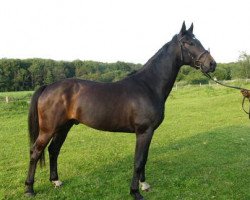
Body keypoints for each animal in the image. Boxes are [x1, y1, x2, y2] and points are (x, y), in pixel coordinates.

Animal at [24, 22, 217, 200]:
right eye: (188, 43)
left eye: (197, 40)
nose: (212, 64)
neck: (148, 86)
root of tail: (48, 87)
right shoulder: (143, 132)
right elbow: (138, 161)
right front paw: (135, 192)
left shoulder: (149, 132)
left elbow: (144, 158)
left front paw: (144, 184)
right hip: (49, 129)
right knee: (35, 152)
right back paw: (29, 189)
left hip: (64, 127)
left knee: (53, 150)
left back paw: (55, 181)